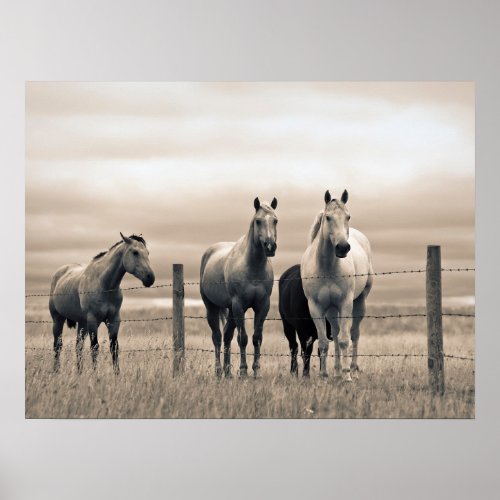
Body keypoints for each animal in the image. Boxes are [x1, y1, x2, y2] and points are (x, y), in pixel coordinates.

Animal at [49, 233, 155, 372]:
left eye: (147, 253)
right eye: (135, 252)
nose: (150, 278)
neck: (104, 285)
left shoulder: (114, 320)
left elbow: (114, 348)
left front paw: (117, 373)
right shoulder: (93, 321)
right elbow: (95, 347)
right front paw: (95, 374)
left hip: (82, 323)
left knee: (78, 346)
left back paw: (79, 372)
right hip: (58, 319)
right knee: (58, 345)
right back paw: (56, 371)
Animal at [199, 197, 278, 376]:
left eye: (275, 220)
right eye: (258, 221)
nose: (270, 246)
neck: (253, 267)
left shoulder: (263, 306)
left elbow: (257, 338)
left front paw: (256, 371)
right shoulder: (239, 305)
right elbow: (243, 339)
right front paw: (243, 371)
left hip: (231, 311)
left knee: (227, 335)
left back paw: (228, 372)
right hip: (212, 307)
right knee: (217, 337)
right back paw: (219, 371)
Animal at [298, 189, 374, 380]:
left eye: (348, 216)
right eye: (328, 217)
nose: (343, 247)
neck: (327, 268)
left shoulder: (345, 303)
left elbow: (345, 340)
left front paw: (347, 376)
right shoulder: (316, 307)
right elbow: (325, 342)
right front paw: (324, 375)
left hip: (359, 302)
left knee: (354, 334)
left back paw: (351, 369)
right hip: (332, 310)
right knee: (336, 331)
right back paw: (337, 371)